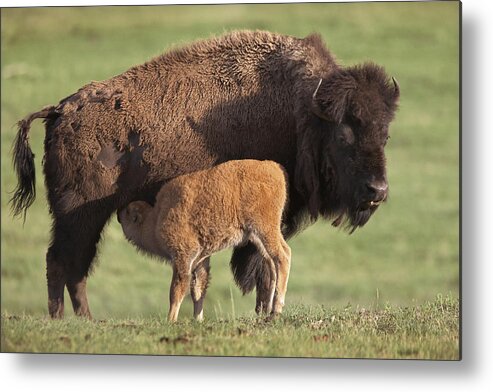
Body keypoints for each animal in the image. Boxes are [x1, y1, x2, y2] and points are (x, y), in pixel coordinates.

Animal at [117, 159, 290, 322]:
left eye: (128, 213)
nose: (119, 213)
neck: (156, 217)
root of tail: (274, 168)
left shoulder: (183, 256)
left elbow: (177, 289)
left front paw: (171, 319)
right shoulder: (200, 259)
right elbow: (198, 288)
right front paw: (198, 319)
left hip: (265, 229)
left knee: (283, 256)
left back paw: (276, 310)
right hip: (257, 237)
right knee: (271, 263)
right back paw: (268, 309)